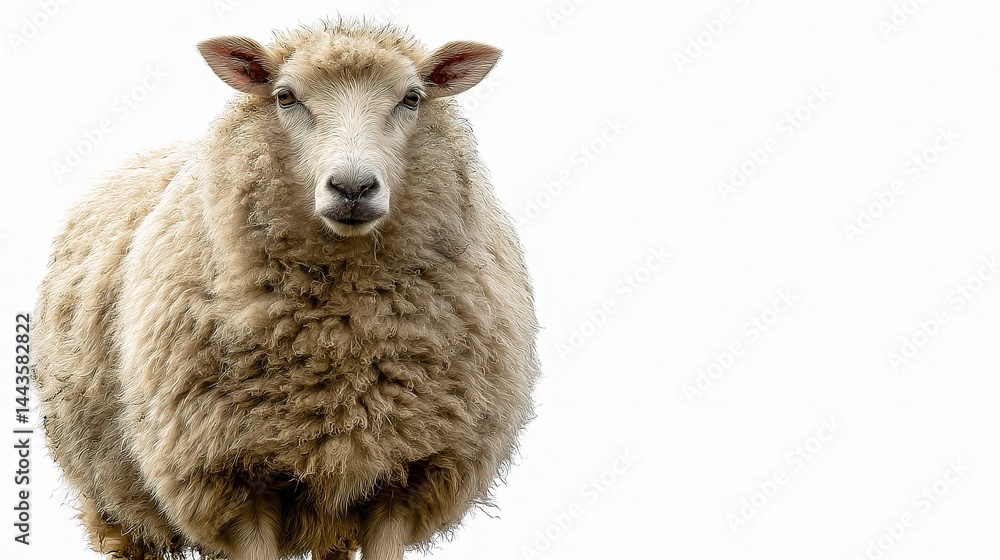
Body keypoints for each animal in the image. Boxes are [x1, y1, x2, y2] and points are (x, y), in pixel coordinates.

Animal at [34, 18, 539, 560]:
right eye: (285, 96)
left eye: (412, 98)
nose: (353, 188)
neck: (341, 331)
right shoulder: (235, 479)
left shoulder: (406, 477)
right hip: (114, 492)